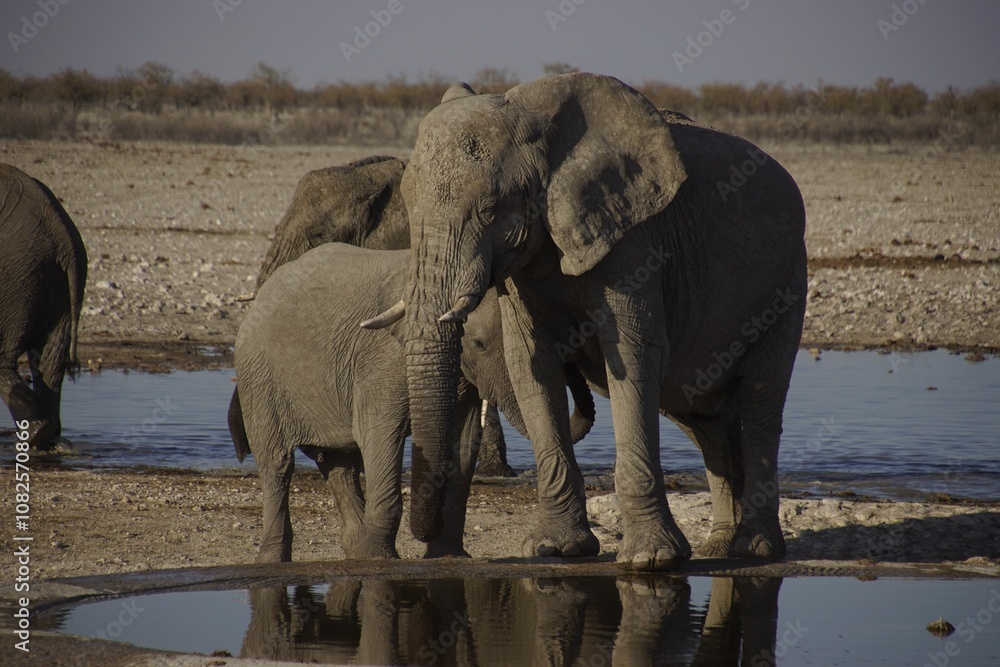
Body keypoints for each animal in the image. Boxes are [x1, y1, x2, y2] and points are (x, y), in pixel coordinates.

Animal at [0, 163, 87, 449]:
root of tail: (64, 240)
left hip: (15, 275)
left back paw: (37, 433)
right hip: (55, 283)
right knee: (50, 361)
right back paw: (50, 438)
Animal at [228, 243, 594, 562]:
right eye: (478, 344)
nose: (574, 362)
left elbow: (462, 443)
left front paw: (448, 556)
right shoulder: (381, 361)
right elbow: (379, 434)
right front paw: (380, 559)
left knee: (339, 465)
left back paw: (355, 550)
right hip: (257, 375)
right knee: (277, 463)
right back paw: (275, 560)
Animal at [367, 73, 807, 569]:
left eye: (491, 208)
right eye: (407, 206)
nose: (422, 540)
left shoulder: (632, 237)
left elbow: (633, 357)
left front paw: (651, 559)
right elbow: (531, 365)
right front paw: (554, 549)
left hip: (786, 283)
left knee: (760, 404)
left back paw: (755, 549)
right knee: (707, 422)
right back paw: (717, 550)